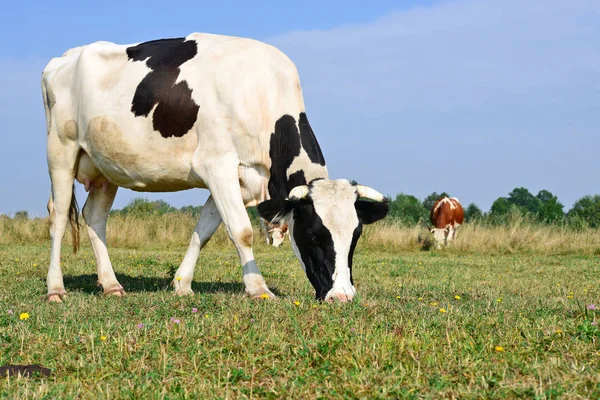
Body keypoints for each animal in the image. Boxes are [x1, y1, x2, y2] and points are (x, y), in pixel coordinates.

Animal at [43, 32, 390, 304]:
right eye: (315, 235)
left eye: (355, 236)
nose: (342, 296)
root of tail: (64, 57)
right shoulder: (216, 164)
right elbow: (242, 231)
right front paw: (259, 289)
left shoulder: (236, 177)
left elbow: (204, 230)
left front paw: (182, 285)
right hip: (61, 150)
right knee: (58, 217)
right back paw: (55, 289)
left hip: (105, 167)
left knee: (94, 217)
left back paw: (111, 285)